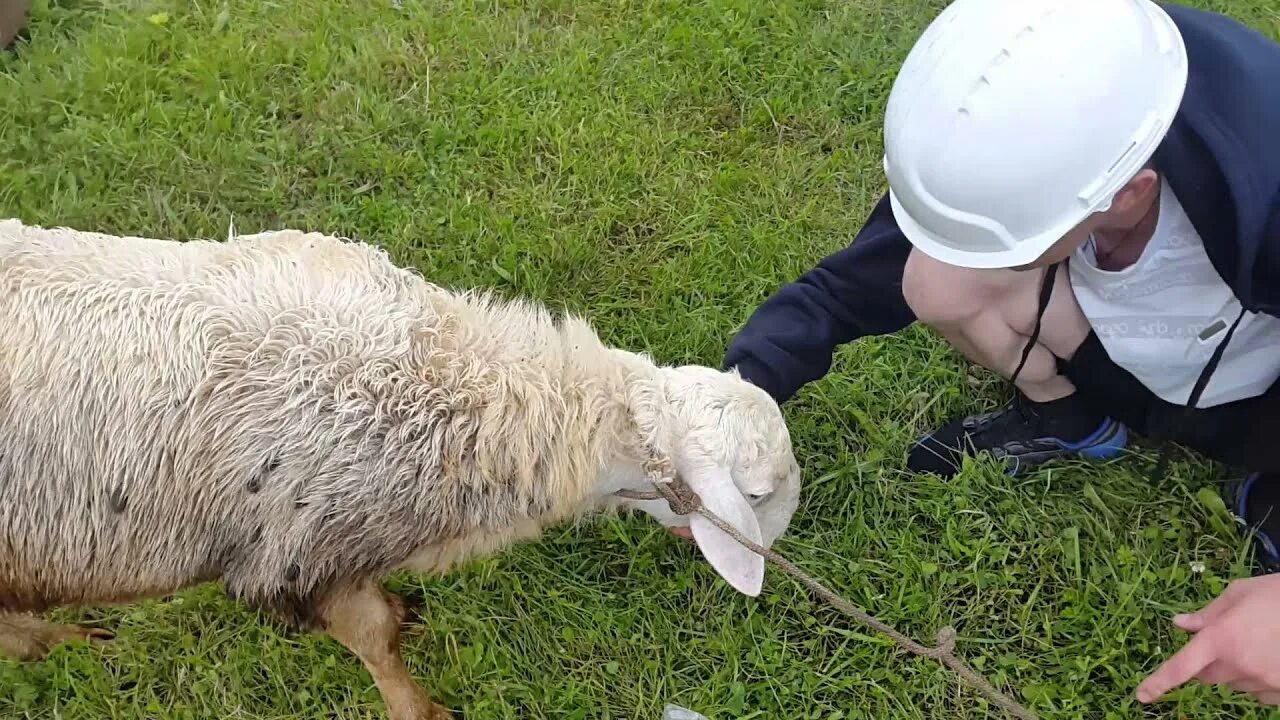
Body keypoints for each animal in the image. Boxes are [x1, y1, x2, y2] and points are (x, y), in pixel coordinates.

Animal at [0, 217, 798, 717]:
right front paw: (422, 709)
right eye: (758, 493)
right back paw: (64, 642)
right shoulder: (300, 555)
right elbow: (374, 643)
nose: (782, 545)